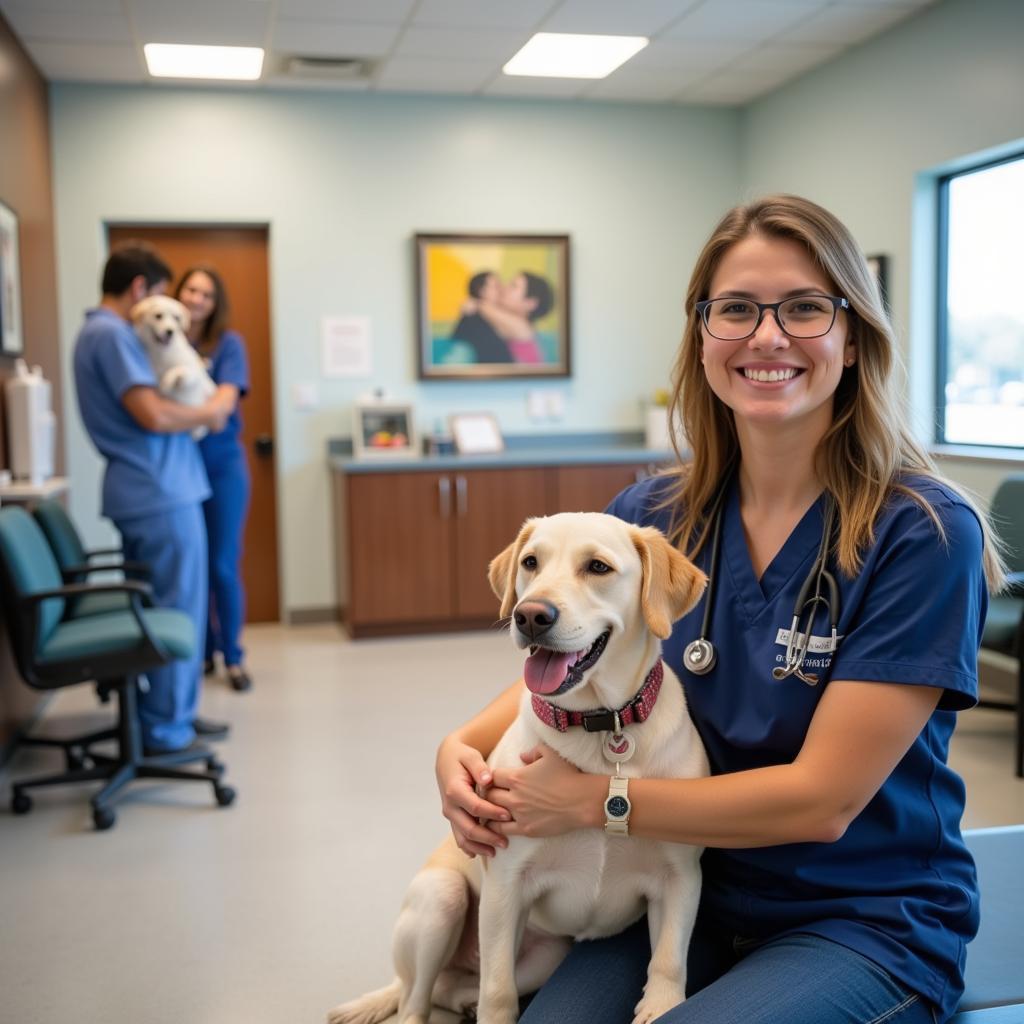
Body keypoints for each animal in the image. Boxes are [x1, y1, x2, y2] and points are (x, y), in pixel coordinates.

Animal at [130, 296, 216, 440]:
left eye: (176, 318)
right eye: (158, 316)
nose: (170, 331)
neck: (161, 352)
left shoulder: (193, 373)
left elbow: (178, 371)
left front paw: (167, 383)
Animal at [329, 516, 712, 1024]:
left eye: (598, 566)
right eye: (531, 562)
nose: (530, 615)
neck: (600, 727)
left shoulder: (680, 878)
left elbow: (668, 960)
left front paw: (660, 1005)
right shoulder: (505, 885)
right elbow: (498, 991)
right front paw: (492, 1010)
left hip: (546, 956)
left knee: (450, 987)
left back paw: (462, 1001)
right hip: (442, 898)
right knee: (417, 998)